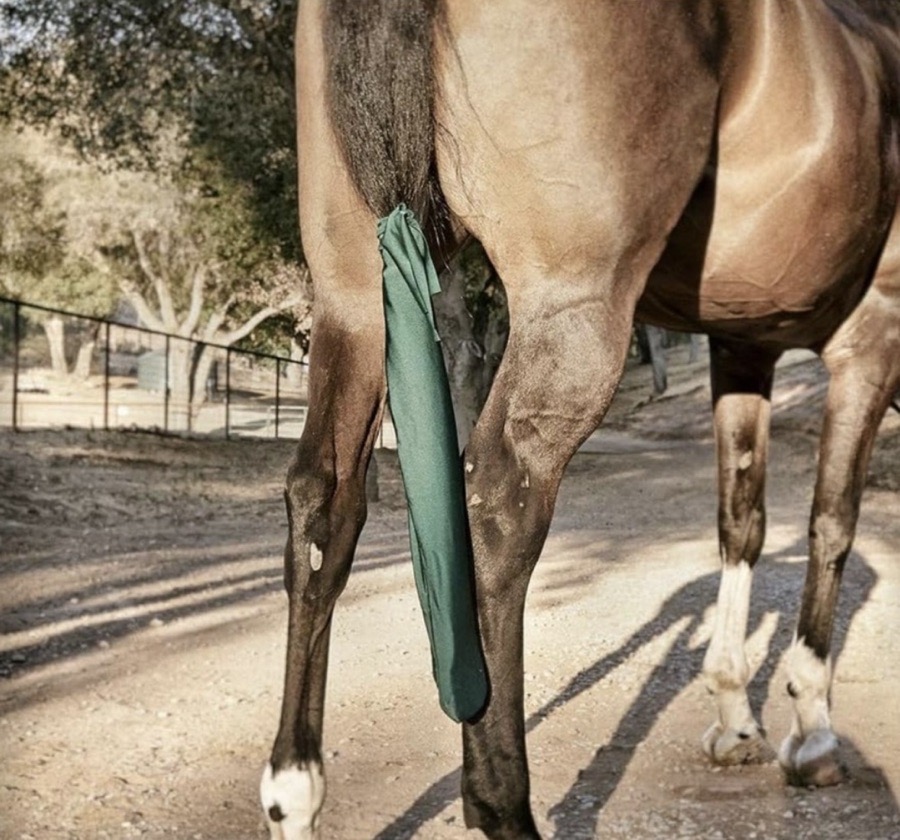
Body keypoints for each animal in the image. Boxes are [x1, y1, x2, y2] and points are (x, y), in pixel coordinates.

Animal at [260, 1, 900, 837]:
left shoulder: (741, 345)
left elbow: (741, 523)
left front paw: (735, 717)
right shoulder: (871, 338)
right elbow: (831, 526)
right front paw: (813, 730)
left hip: (352, 297)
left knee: (324, 503)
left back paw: (294, 792)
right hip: (573, 309)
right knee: (500, 507)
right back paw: (501, 804)